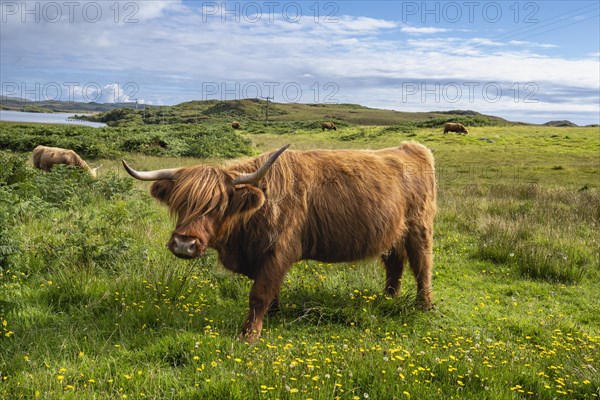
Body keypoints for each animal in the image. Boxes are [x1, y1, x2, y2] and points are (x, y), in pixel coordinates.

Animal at [124, 142, 438, 342]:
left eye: (217, 206)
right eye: (180, 203)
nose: (183, 244)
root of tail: (411, 147)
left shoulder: (279, 250)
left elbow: (259, 293)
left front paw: (249, 336)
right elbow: (268, 292)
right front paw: (274, 315)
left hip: (420, 227)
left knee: (422, 265)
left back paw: (424, 306)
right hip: (393, 233)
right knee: (395, 263)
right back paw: (388, 298)